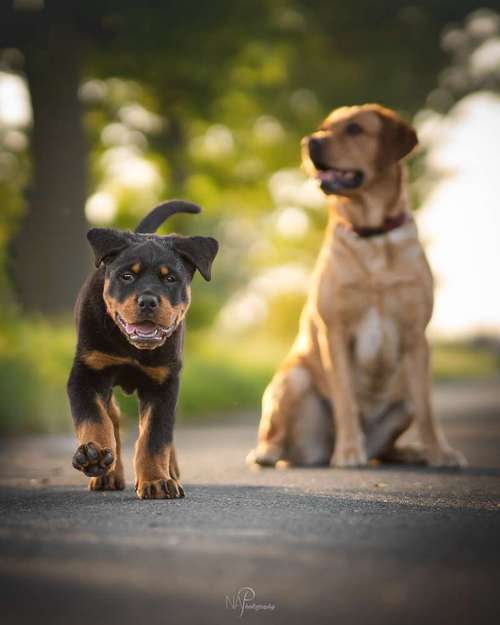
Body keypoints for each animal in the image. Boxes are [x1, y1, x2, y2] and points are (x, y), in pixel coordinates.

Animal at [66, 202, 217, 500]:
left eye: (170, 278)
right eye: (127, 276)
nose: (148, 301)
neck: (131, 346)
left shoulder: (163, 384)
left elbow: (154, 438)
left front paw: (157, 481)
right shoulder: (86, 373)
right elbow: (93, 418)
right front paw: (93, 455)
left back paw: (171, 471)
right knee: (112, 415)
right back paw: (107, 472)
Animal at [248, 102, 466, 466]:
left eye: (354, 129)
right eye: (324, 127)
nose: (309, 141)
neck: (373, 235)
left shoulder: (417, 335)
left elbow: (428, 408)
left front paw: (440, 452)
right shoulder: (334, 332)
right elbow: (346, 400)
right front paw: (349, 451)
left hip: (402, 399)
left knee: (392, 441)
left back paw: (411, 452)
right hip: (293, 378)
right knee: (276, 437)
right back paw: (271, 453)